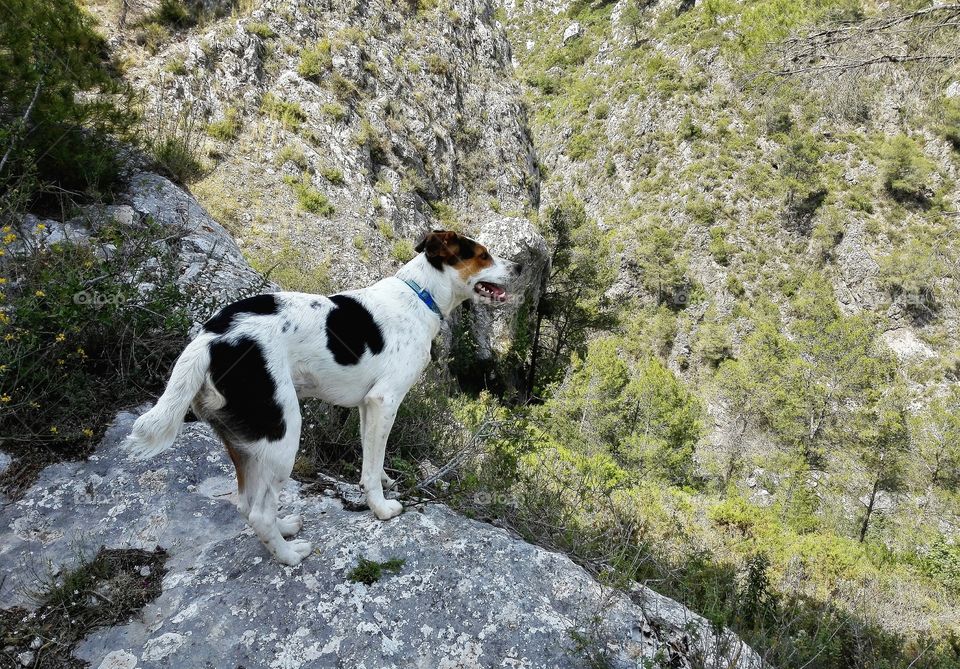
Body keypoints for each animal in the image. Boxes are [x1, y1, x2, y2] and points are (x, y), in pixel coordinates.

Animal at [126, 230, 520, 564]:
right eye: (483, 255)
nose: (519, 267)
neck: (418, 294)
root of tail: (211, 338)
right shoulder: (385, 401)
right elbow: (372, 468)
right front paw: (381, 509)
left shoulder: (366, 406)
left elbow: (370, 459)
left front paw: (381, 485)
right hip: (283, 434)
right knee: (259, 511)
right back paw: (290, 555)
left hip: (246, 442)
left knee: (247, 504)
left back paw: (284, 530)